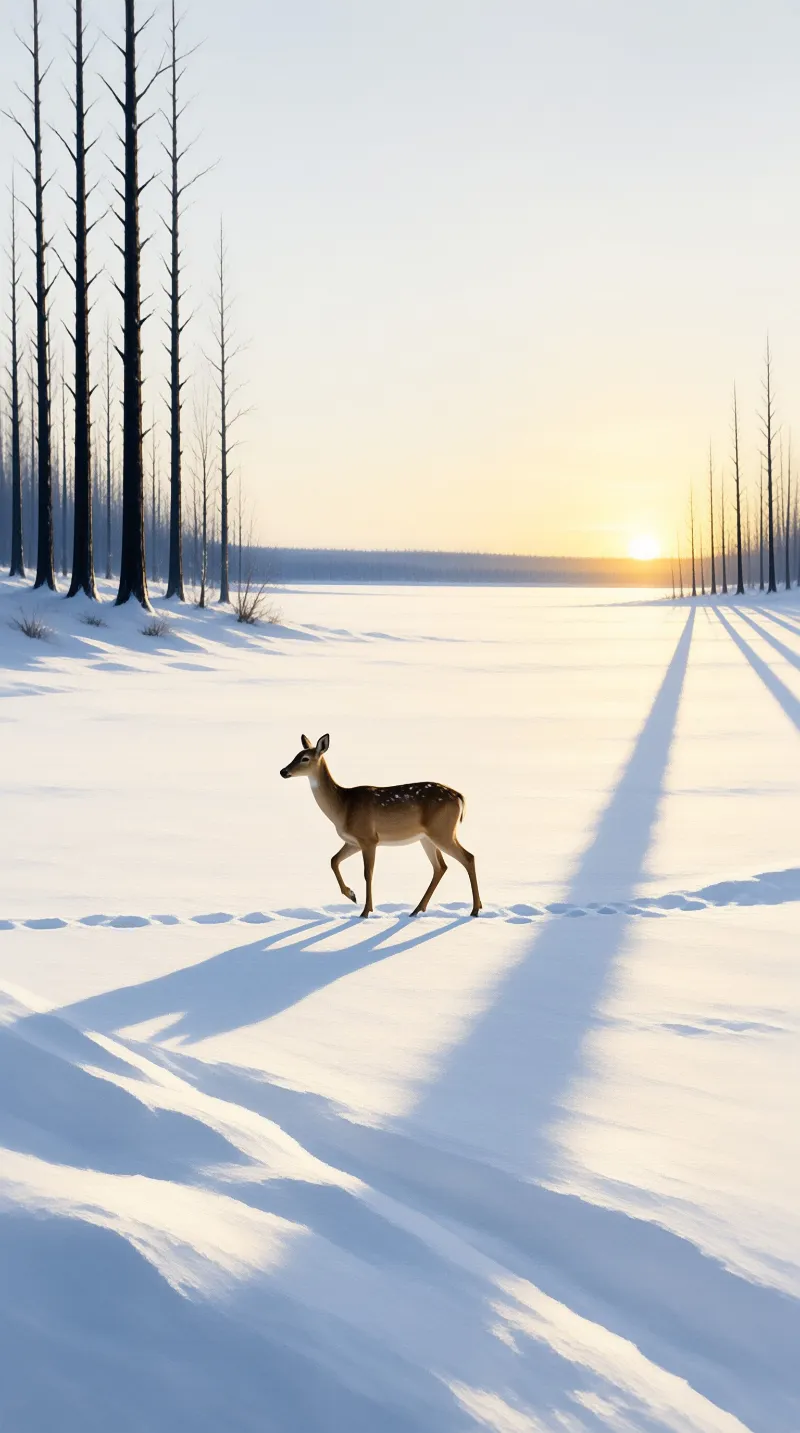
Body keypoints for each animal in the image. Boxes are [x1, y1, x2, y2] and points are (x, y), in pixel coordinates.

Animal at [280, 734, 482, 919]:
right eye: (295, 755)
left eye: (305, 758)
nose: (283, 771)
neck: (343, 807)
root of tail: (459, 796)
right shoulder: (353, 841)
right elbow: (333, 860)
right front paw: (351, 895)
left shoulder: (369, 837)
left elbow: (367, 873)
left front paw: (365, 911)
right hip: (427, 837)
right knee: (440, 867)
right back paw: (417, 910)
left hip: (442, 831)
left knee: (468, 857)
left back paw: (475, 909)